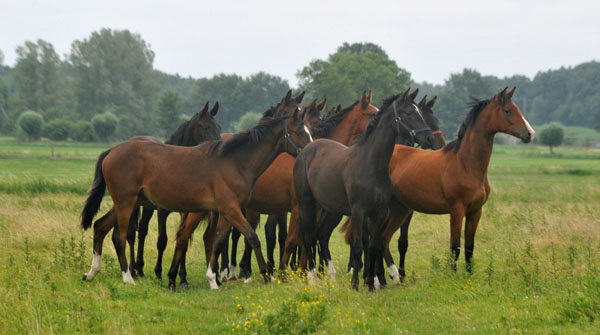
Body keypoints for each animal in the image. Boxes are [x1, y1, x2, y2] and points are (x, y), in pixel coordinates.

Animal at [81, 105, 314, 288]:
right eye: (299, 132)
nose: (311, 149)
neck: (235, 161)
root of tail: (111, 151)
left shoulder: (224, 212)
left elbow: (217, 241)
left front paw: (212, 278)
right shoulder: (231, 209)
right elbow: (252, 237)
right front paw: (267, 275)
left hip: (126, 203)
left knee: (100, 227)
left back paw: (91, 273)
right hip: (126, 203)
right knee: (119, 237)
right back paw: (128, 277)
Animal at [292, 89, 434, 292]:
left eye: (419, 112)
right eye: (408, 112)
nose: (429, 138)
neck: (370, 163)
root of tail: (307, 149)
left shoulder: (379, 212)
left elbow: (373, 245)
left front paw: (372, 284)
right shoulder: (359, 211)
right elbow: (359, 246)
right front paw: (356, 284)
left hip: (331, 210)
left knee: (321, 235)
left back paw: (331, 276)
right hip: (307, 204)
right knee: (309, 237)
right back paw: (312, 278)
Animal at [344, 86, 536, 280]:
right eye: (508, 111)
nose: (530, 133)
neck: (465, 164)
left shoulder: (475, 212)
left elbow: (469, 248)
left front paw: (469, 277)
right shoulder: (457, 210)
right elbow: (455, 246)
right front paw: (453, 277)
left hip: (400, 209)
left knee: (383, 239)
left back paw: (392, 276)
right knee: (372, 239)